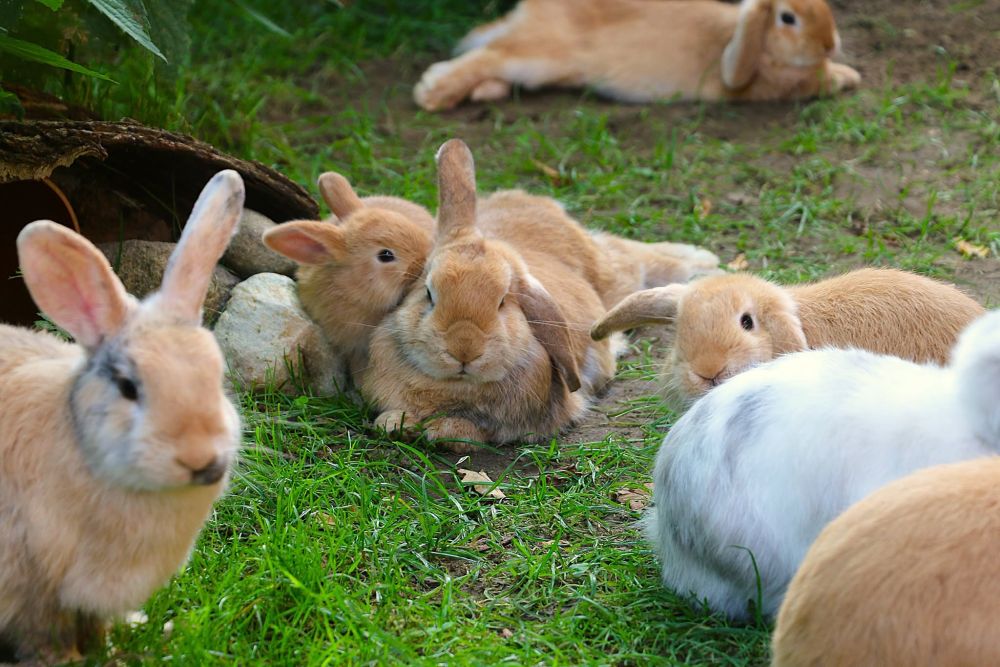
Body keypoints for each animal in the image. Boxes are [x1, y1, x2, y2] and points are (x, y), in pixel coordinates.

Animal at [0, 171, 244, 663]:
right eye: (129, 387)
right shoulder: (32, 593)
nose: (201, 459)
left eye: (218, 375)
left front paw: (115, 646)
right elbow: (47, 641)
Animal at [362, 139, 618, 451]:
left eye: (502, 301)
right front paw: (395, 424)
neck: (455, 385)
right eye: (429, 294)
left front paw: (444, 431)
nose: (464, 350)